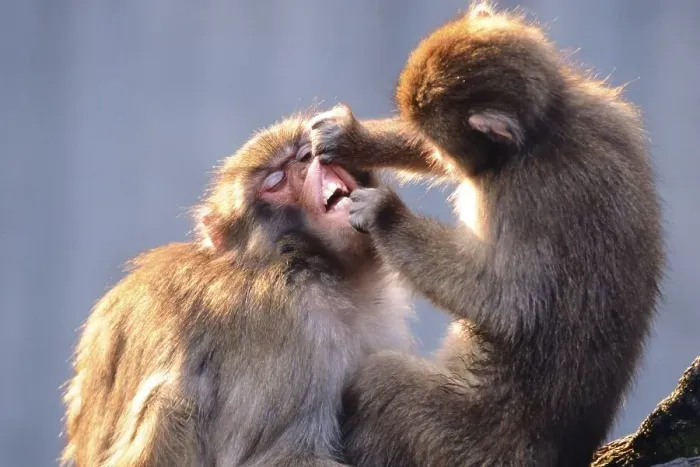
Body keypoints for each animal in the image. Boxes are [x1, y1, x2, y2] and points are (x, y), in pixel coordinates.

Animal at [61, 114, 415, 467]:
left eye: (305, 153)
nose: (305, 163)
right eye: (275, 181)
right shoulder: (290, 322)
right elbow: (283, 455)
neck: (319, 265)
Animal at [309, 3, 664, 466]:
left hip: (465, 444)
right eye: (427, 140)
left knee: (382, 385)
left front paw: (384, 215)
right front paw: (353, 139)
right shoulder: (612, 116)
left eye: (440, 144)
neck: (544, 130)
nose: (437, 153)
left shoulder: (528, 196)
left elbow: (510, 305)